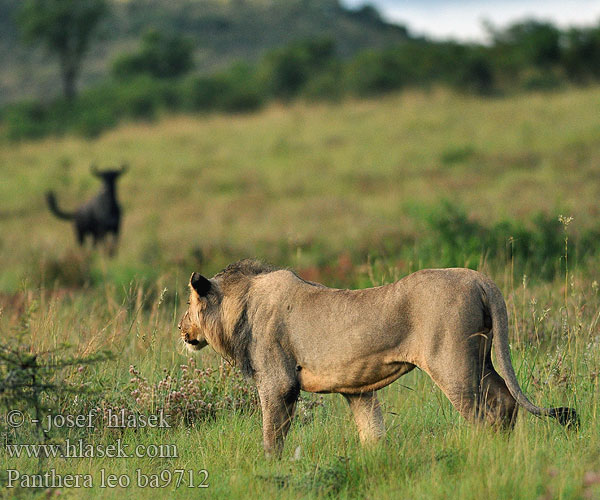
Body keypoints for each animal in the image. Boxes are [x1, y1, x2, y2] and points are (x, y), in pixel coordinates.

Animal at [177, 262, 576, 458]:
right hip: (481, 358)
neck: (239, 306)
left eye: (189, 303)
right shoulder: (357, 389)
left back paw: (484, 455)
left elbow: (271, 437)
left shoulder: (278, 383)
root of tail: (480, 279)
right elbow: (372, 432)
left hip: (453, 363)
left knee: (485, 413)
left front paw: (269, 470)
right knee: (506, 401)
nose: (181, 328)